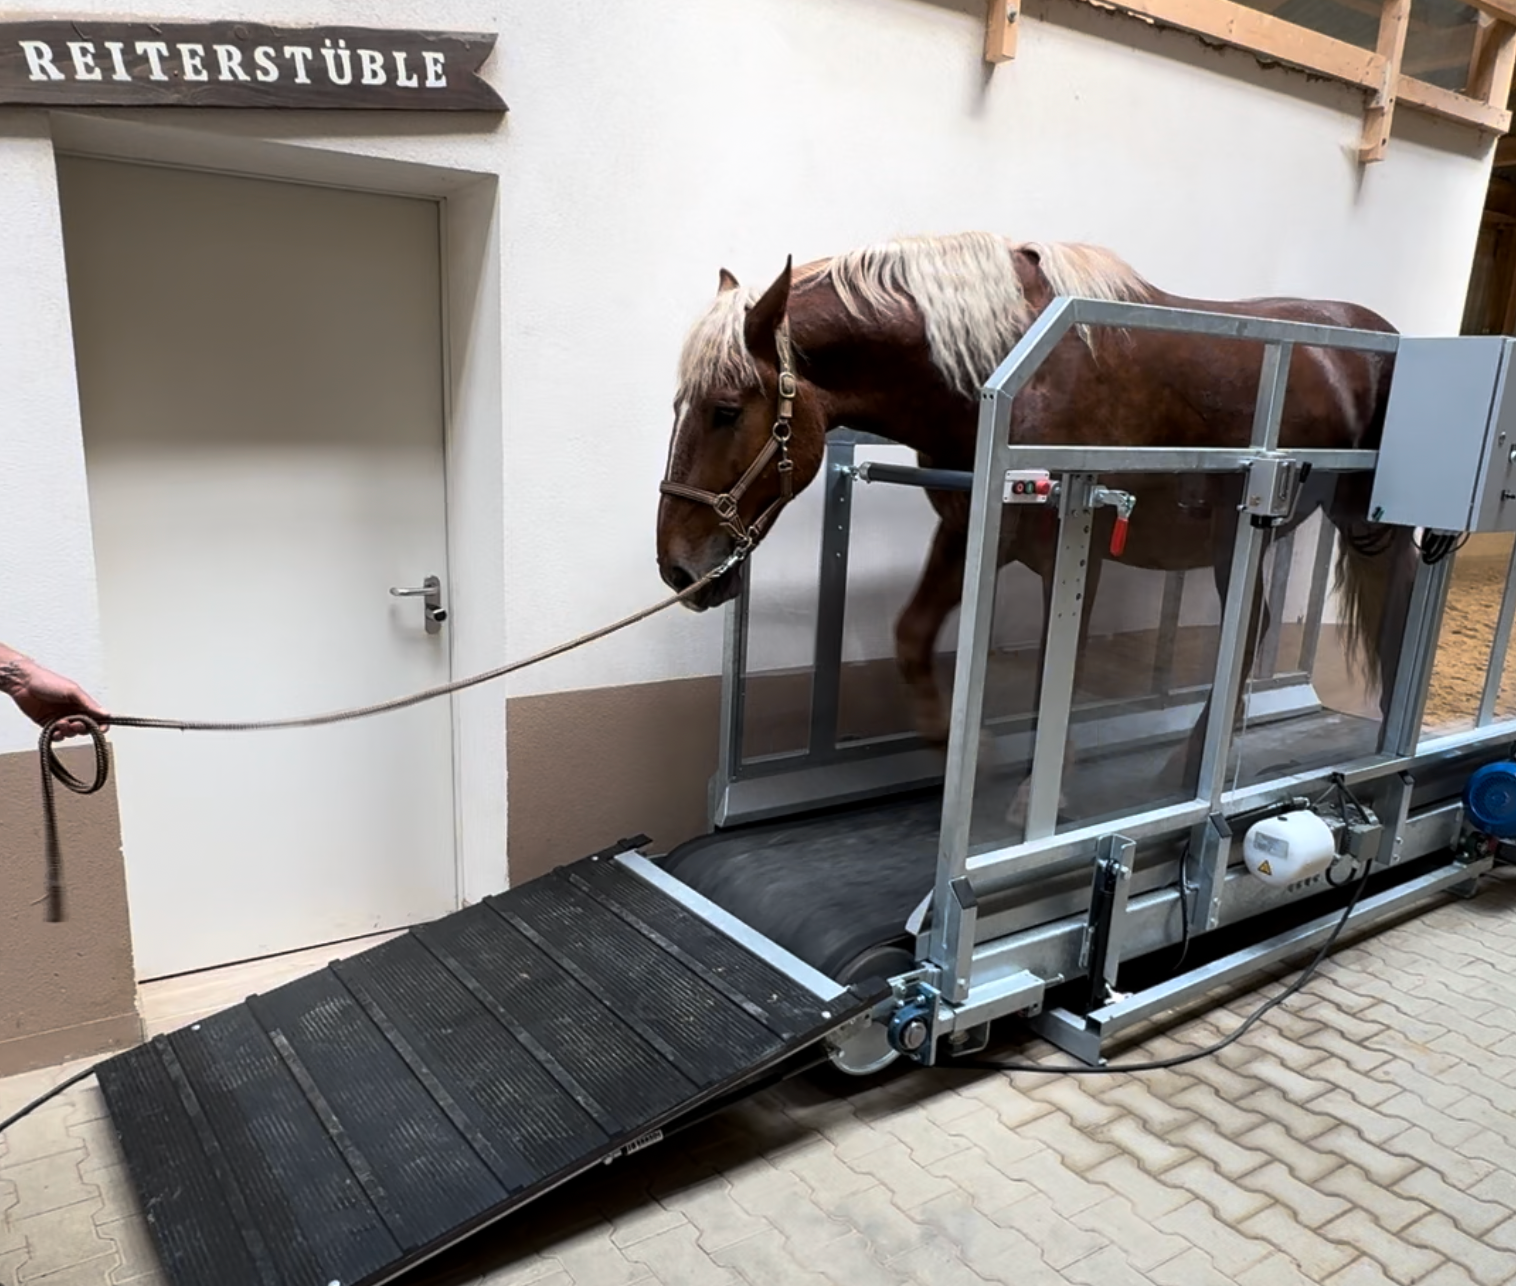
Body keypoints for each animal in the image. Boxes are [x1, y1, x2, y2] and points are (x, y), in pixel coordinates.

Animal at [655, 232, 1419, 823]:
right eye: (679, 406)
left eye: (726, 410)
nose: (676, 568)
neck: (1003, 371)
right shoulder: (971, 532)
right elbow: (910, 636)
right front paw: (960, 747)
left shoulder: (1072, 551)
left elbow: (1061, 664)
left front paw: (1035, 795)